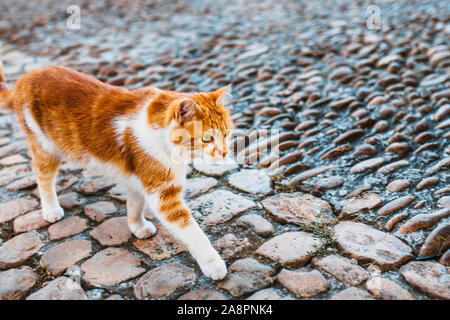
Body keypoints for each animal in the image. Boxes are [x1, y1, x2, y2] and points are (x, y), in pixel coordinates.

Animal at [0, 60, 232, 280]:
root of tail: (25, 79)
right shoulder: (164, 195)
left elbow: (135, 204)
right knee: (43, 176)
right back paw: (50, 209)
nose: (224, 153)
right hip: (45, 147)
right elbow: (192, 232)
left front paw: (137, 226)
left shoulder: (138, 180)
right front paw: (213, 264)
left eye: (226, 133)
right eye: (206, 138)